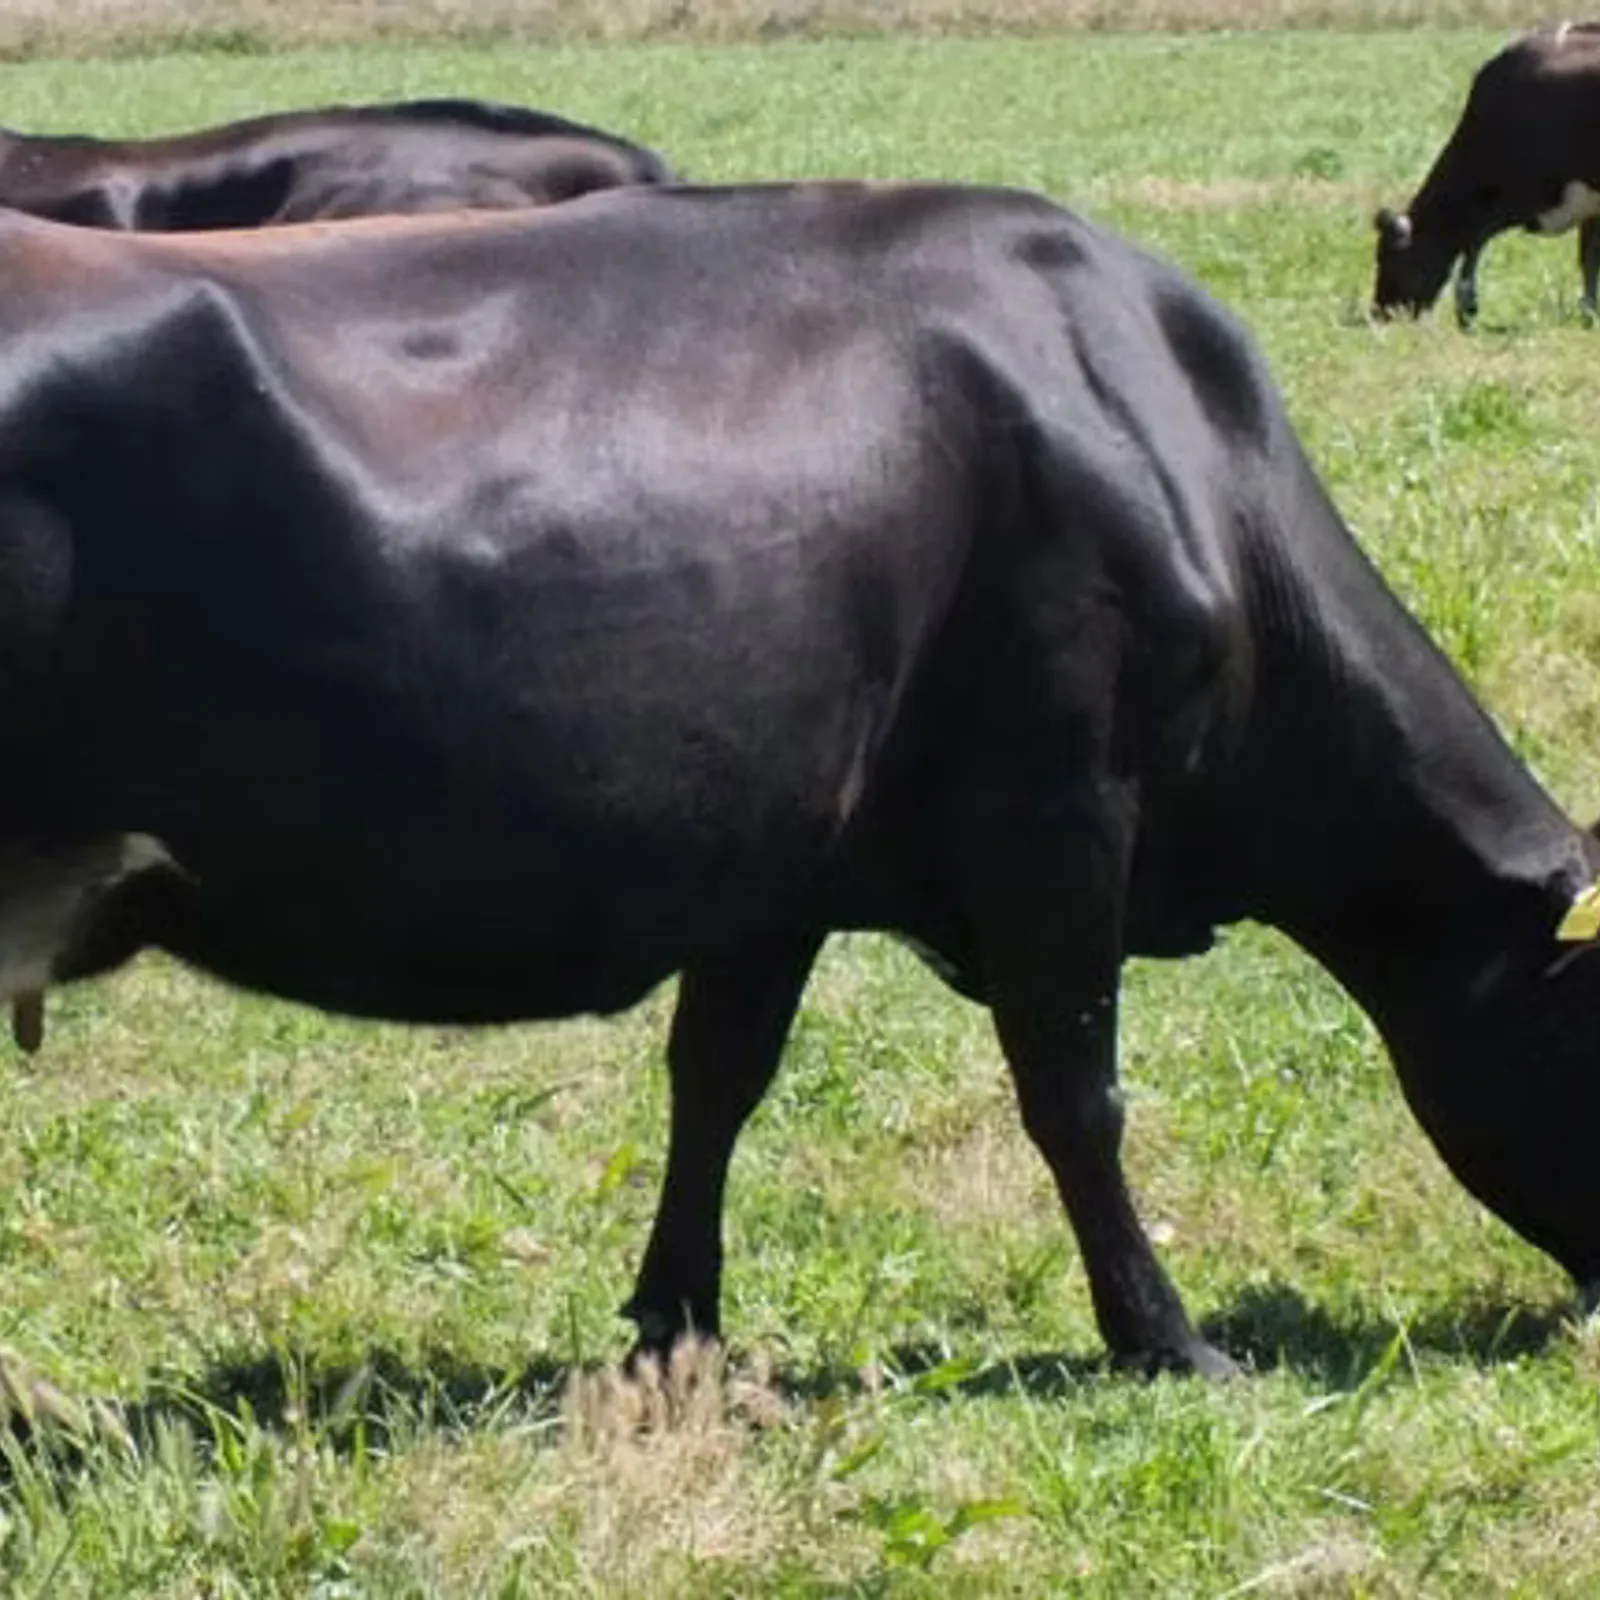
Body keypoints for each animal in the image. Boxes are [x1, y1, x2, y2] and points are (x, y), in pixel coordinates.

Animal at [1, 186, 1598, 1381]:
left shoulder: (775, 858)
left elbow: (717, 1079)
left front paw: (675, 1328)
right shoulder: (1061, 806)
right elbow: (1075, 1091)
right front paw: (1168, 1341)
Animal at [1374, 21, 1600, 325]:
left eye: (1388, 258)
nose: (1379, 313)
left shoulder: (1526, 193)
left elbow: (1476, 237)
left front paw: (1467, 307)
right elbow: (1588, 259)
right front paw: (1590, 314)